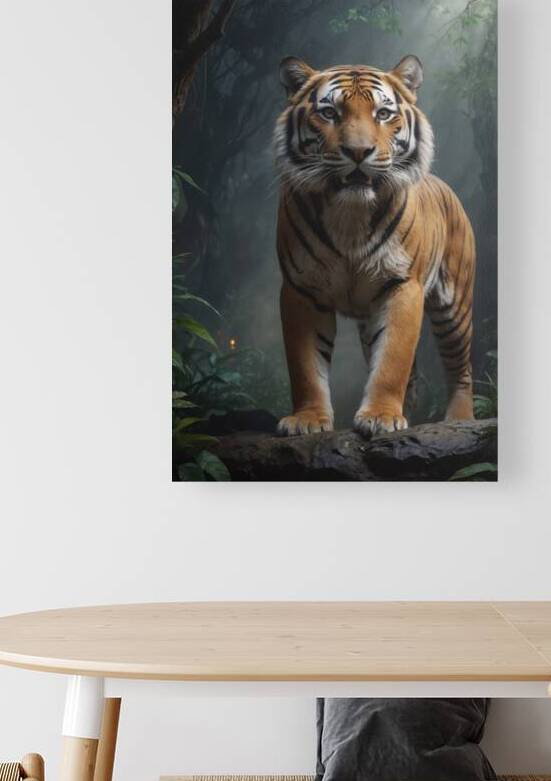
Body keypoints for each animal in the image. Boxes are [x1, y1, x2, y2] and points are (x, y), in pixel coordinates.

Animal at [273, 54, 476, 437]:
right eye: (329, 113)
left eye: (383, 113)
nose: (358, 152)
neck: (350, 214)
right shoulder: (300, 288)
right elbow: (304, 365)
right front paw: (308, 419)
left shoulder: (402, 284)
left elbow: (393, 358)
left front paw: (381, 416)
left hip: (454, 305)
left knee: (461, 368)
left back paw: (459, 420)